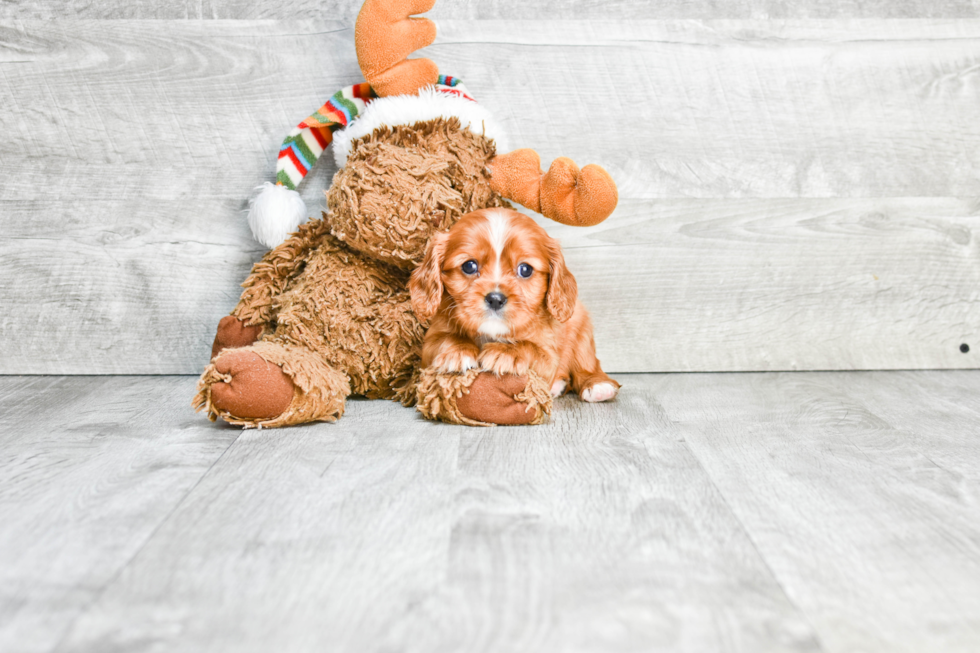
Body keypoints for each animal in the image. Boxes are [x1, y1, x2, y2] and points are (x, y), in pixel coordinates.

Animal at [410, 208, 616, 402]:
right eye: (469, 266)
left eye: (525, 269)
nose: (495, 298)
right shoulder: (428, 345)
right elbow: (444, 338)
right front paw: (457, 351)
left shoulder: (549, 355)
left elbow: (531, 348)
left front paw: (507, 353)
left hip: (582, 330)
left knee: (588, 365)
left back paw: (598, 385)